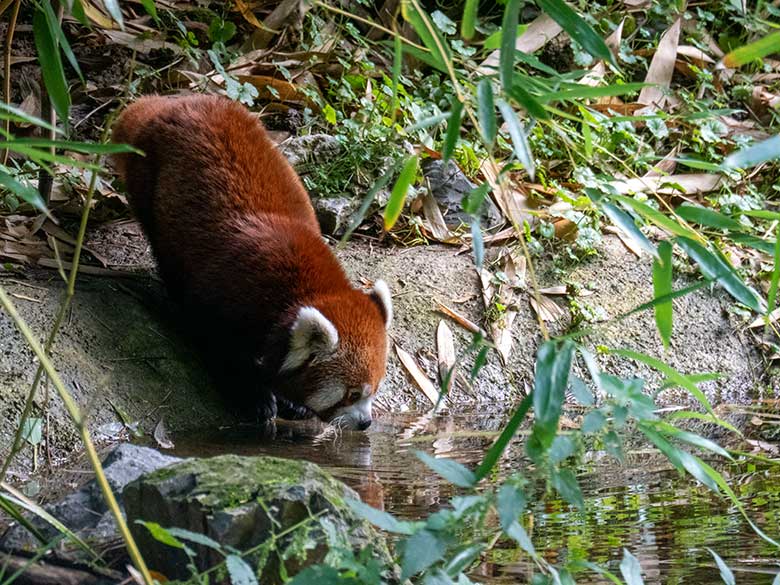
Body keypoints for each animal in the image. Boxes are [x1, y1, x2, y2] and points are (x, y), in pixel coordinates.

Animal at [111, 94, 390, 428]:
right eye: (351, 394)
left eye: (375, 389)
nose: (366, 423)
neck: (302, 291)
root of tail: (169, 103)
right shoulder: (225, 294)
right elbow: (217, 343)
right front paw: (253, 395)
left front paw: (288, 401)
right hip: (151, 179)